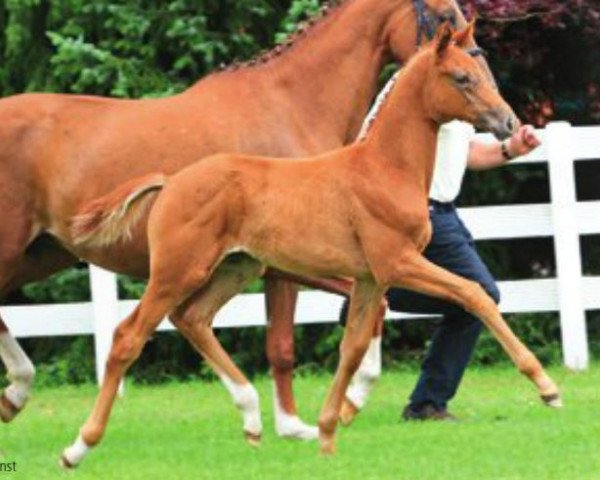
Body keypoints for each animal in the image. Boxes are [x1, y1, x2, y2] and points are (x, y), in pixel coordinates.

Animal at [0, 0, 492, 436]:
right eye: (445, 16)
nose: (493, 100)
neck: (290, 105)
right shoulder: (288, 266)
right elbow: (285, 345)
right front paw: (300, 422)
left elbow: (367, 309)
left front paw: (339, 404)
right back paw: (21, 392)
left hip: (41, 255)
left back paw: (16, 395)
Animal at [63, 21, 560, 464]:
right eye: (461, 77)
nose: (509, 121)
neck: (384, 167)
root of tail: (171, 182)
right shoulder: (397, 263)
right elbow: (474, 293)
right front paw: (547, 387)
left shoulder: (369, 280)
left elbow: (353, 347)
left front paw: (326, 431)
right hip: (177, 270)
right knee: (128, 336)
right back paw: (78, 447)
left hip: (235, 268)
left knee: (193, 318)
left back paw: (252, 418)